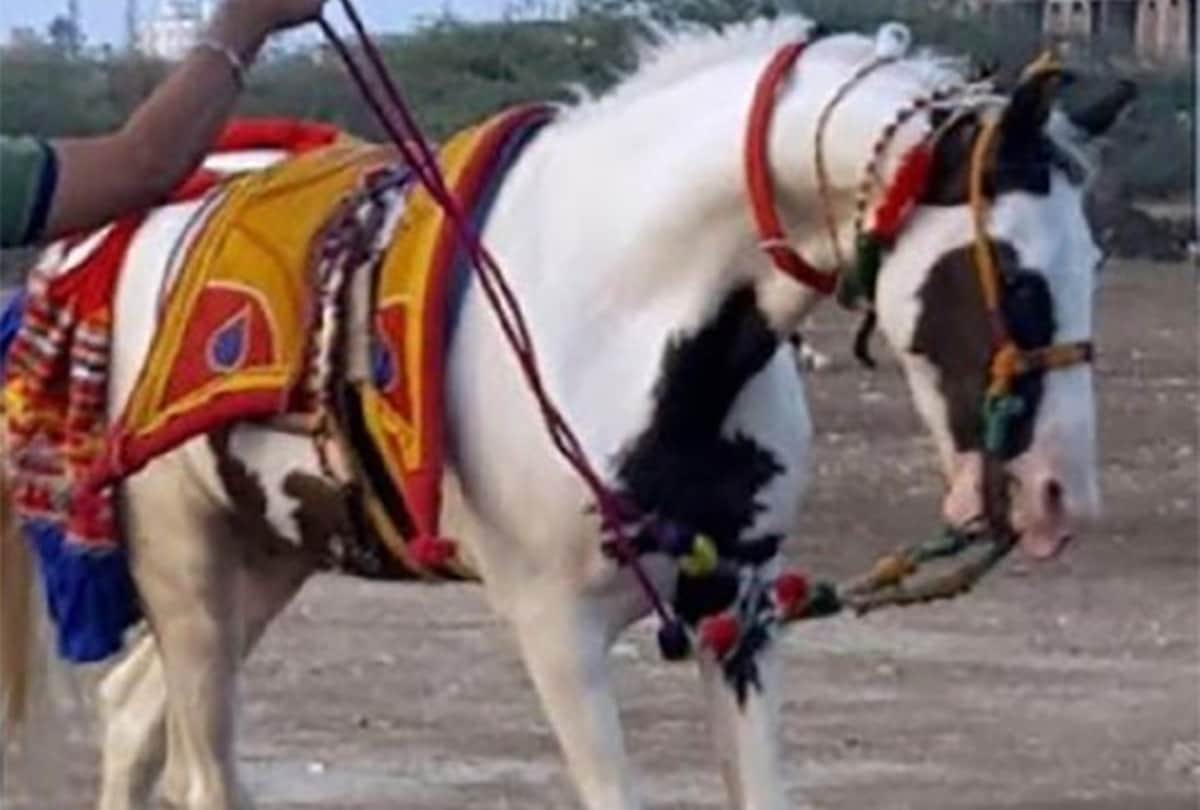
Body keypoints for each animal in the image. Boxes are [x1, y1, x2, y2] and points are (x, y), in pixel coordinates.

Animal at [0, 16, 1132, 810]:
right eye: (1015, 277)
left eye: (1094, 262)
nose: (1056, 494)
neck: (616, 312)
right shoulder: (556, 625)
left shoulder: (740, 609)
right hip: (182, 560)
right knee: (195, 767)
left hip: (270, 552)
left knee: (131, 714)